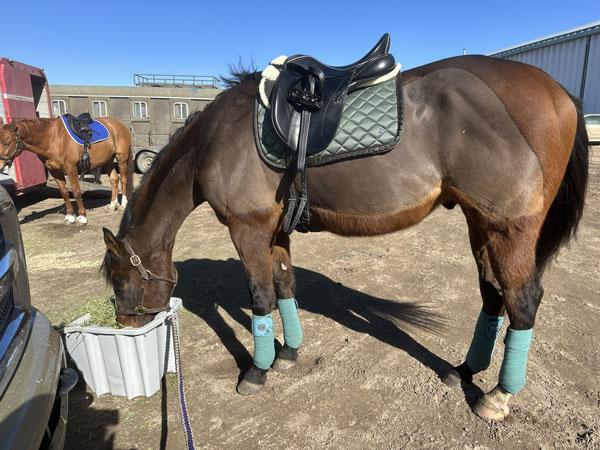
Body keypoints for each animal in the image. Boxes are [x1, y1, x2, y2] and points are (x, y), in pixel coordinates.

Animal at [0, 115, 132, 222]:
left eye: (7, 143)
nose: (0, 166)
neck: (52, 139)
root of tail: (120, 125)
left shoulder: (71, 168)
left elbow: (76, 191)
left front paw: (82, 216)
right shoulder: (55, 171)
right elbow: (64, 192)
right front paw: (69, 215)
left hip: (121, 158)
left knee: (123, 179)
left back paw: (124, 204)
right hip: (108, 160)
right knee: (114, 179)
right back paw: (113, 205)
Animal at [101, 55, 588, 422]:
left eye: (120, 281)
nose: (124, 325)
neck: (214, 140)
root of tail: (561, 94)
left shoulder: (248, 229)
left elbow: (260, 296)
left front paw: (257, 371)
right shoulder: (277, 231)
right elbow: (284, 285)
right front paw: (289, 352)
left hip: (508, 229)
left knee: (521, 301)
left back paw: (498, 396)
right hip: (480, 224)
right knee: (492, 294)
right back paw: (465, 370)